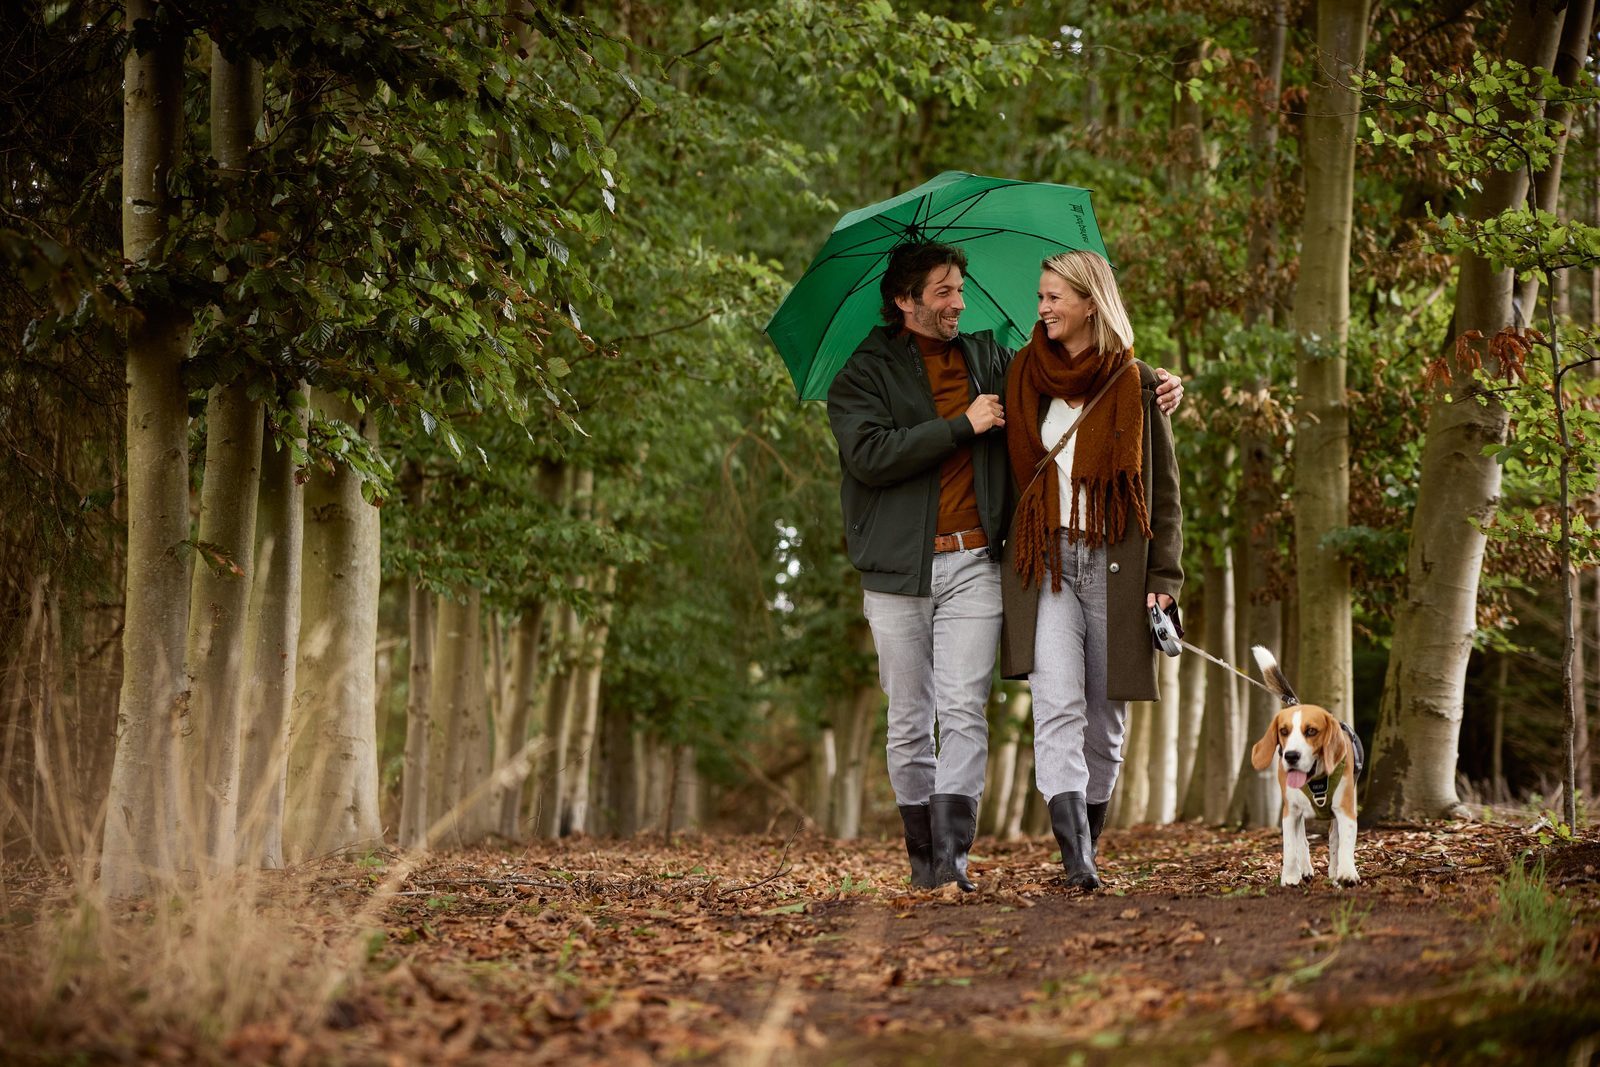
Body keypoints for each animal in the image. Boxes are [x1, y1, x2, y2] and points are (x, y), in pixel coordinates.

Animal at [1248, 646, 1363, 889]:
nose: (1291, 756)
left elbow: (1344, 843)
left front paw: (1346, 873)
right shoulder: (1290, 812)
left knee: (1333, 839)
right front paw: (1291, 876)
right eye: (1283, 731)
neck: (1316, 780)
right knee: (1301, 839)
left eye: (1311, 731)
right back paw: (1306, 869)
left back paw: (1334, 871)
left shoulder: (1345, 810)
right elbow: (1291, 848)